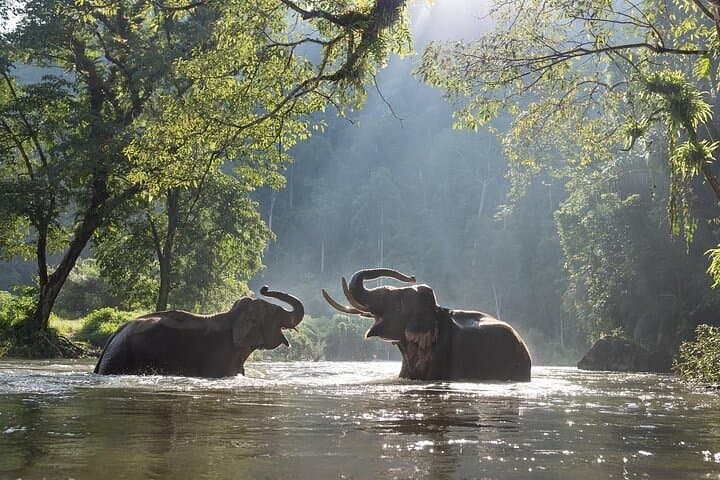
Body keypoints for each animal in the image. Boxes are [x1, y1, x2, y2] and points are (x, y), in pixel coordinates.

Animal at [94, 286, 304, 377]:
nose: (265, 287)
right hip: (119, 358)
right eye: (275, 312)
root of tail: (113, 336)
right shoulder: (219, 356)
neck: (232, 315)